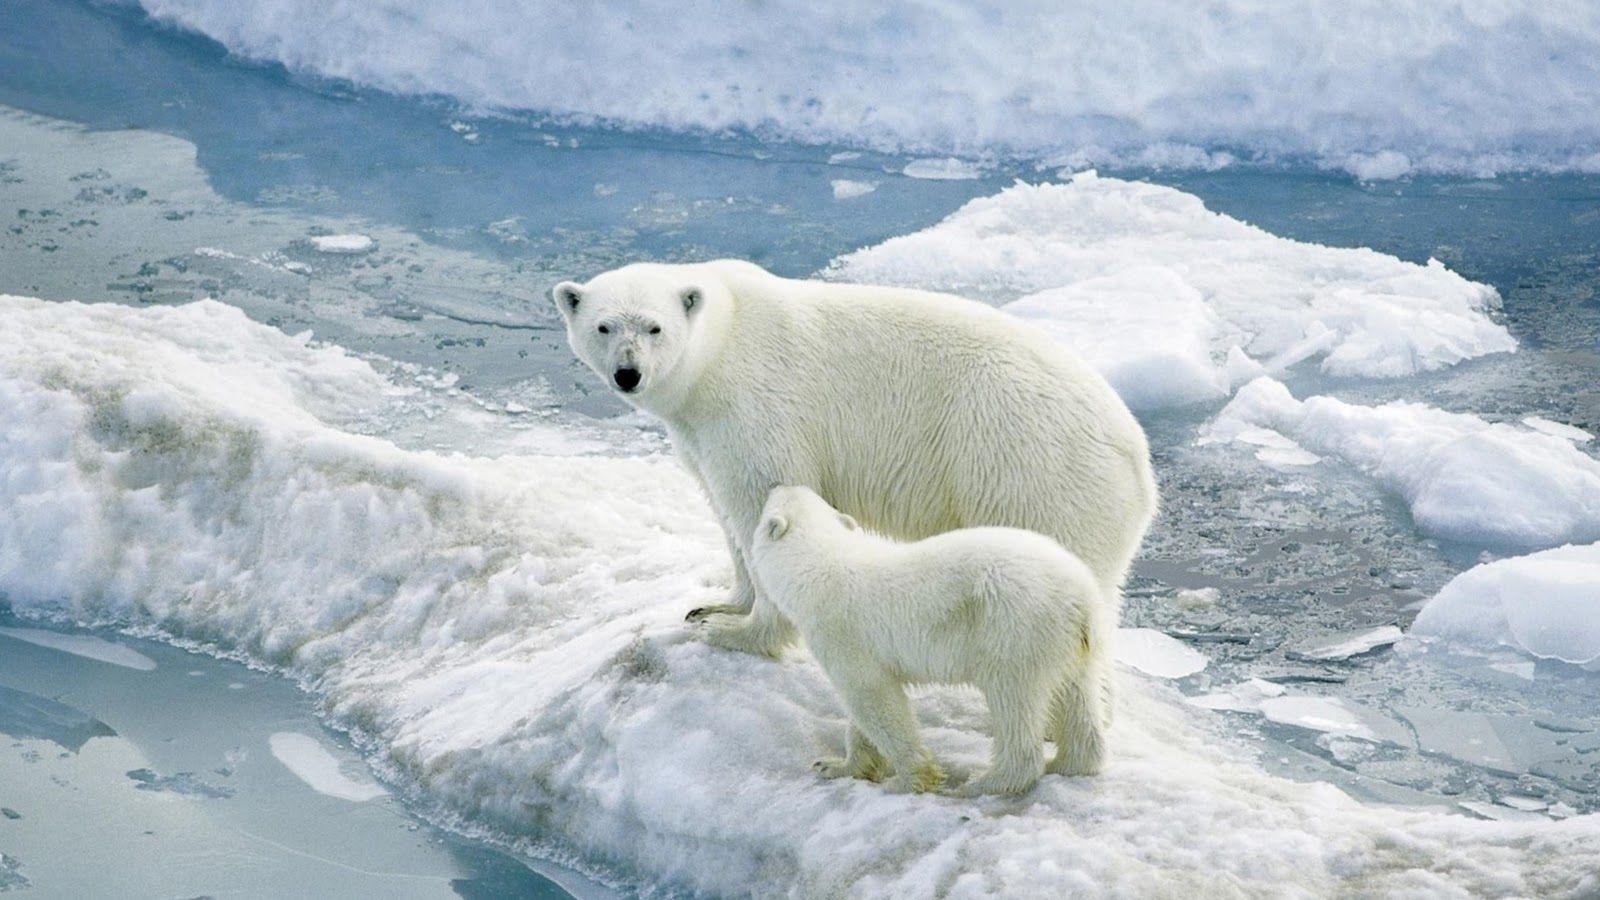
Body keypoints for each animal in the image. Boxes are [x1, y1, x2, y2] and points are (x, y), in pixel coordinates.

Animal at [550, 259, 1152, 666]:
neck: (720, 346)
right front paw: (717, 607)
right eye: (604, 327)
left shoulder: (757, 406)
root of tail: (1138, 460)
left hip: (1031, 471)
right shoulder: (698, 431)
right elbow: (723, 509)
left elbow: (761, 499)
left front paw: (739, 635)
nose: (628, 374)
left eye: (654, 327)